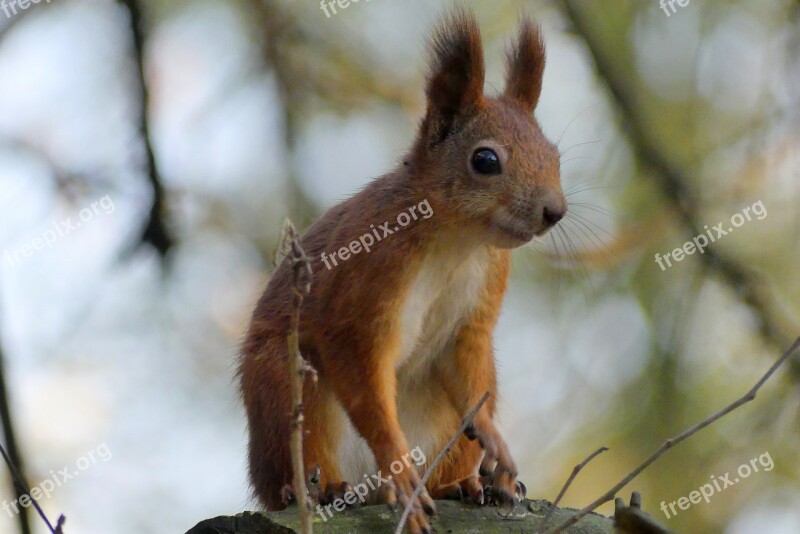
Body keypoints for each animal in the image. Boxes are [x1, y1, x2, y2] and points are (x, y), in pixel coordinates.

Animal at [238, 8, 564, 534]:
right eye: (486, 159)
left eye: (554, 155)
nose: (554, 211)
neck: (457, 242)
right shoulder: (364, 285)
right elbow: (361, 370)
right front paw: (398, 463)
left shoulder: (474, 316)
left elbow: (468, 372)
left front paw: (495, 442)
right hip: (286, 387)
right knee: (302, 456)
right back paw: (319, 487)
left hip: (445, 429)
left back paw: (464, 484)